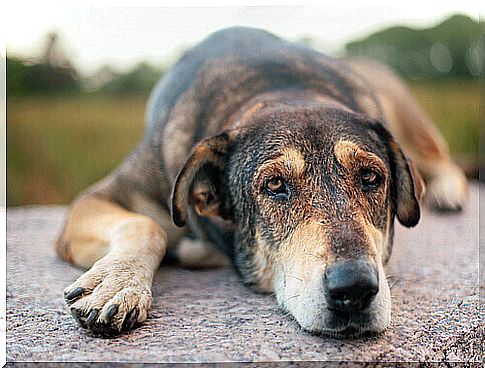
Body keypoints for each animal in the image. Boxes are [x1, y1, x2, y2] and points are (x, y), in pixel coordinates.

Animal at [54, 26, 466, 336]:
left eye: (369, 177)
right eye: (275, 186)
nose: (355, 288)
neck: (279, 88)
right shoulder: (98, 198)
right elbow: (146, 225)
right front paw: (117, 284)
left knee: (443, 159)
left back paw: (446, 192)